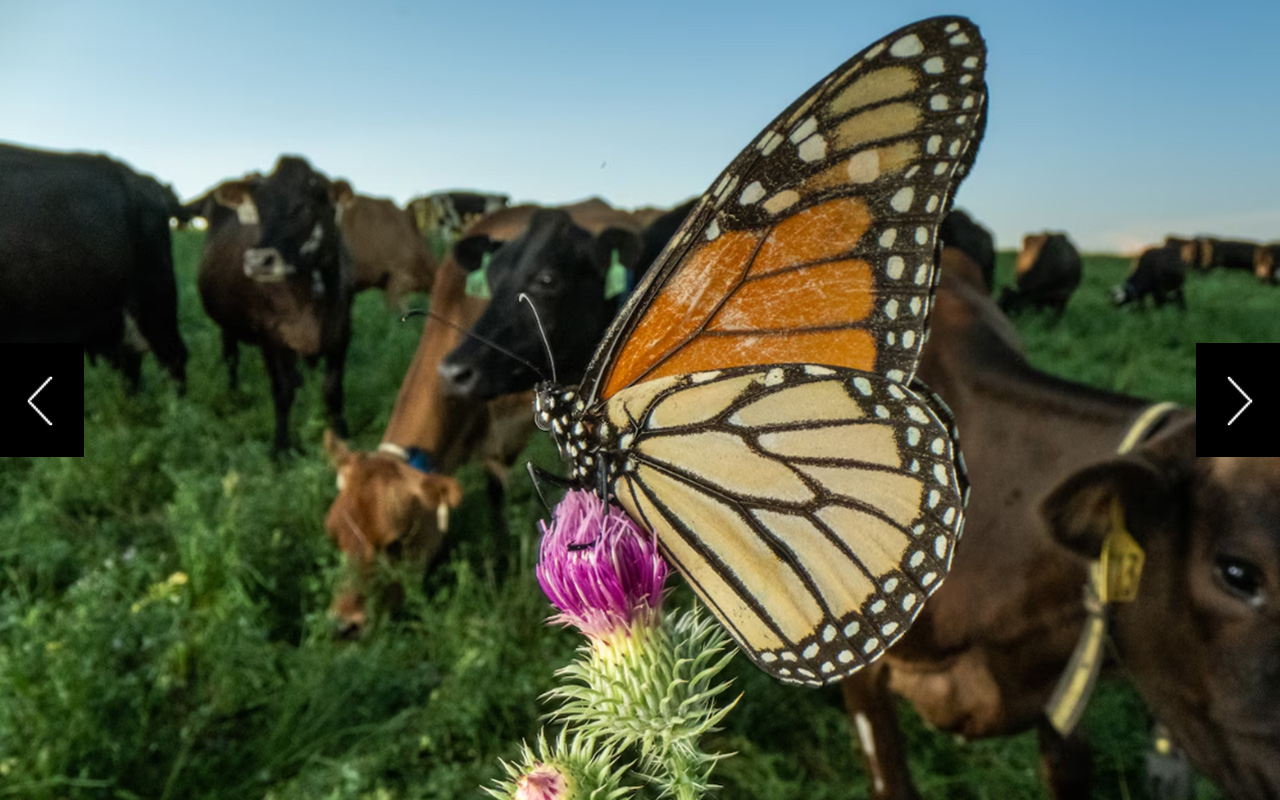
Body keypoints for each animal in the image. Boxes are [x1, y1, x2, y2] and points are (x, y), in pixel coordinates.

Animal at [190, 155, 350, 453]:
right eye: (258, 210)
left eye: (307, 205)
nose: (257, 260)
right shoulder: (269, 335)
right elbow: (282, 391)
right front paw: (281, 449)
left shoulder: (342, 330)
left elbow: (333, 390)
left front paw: (343, 436)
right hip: (227, 324)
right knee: (231, 356)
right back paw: (234, 392)